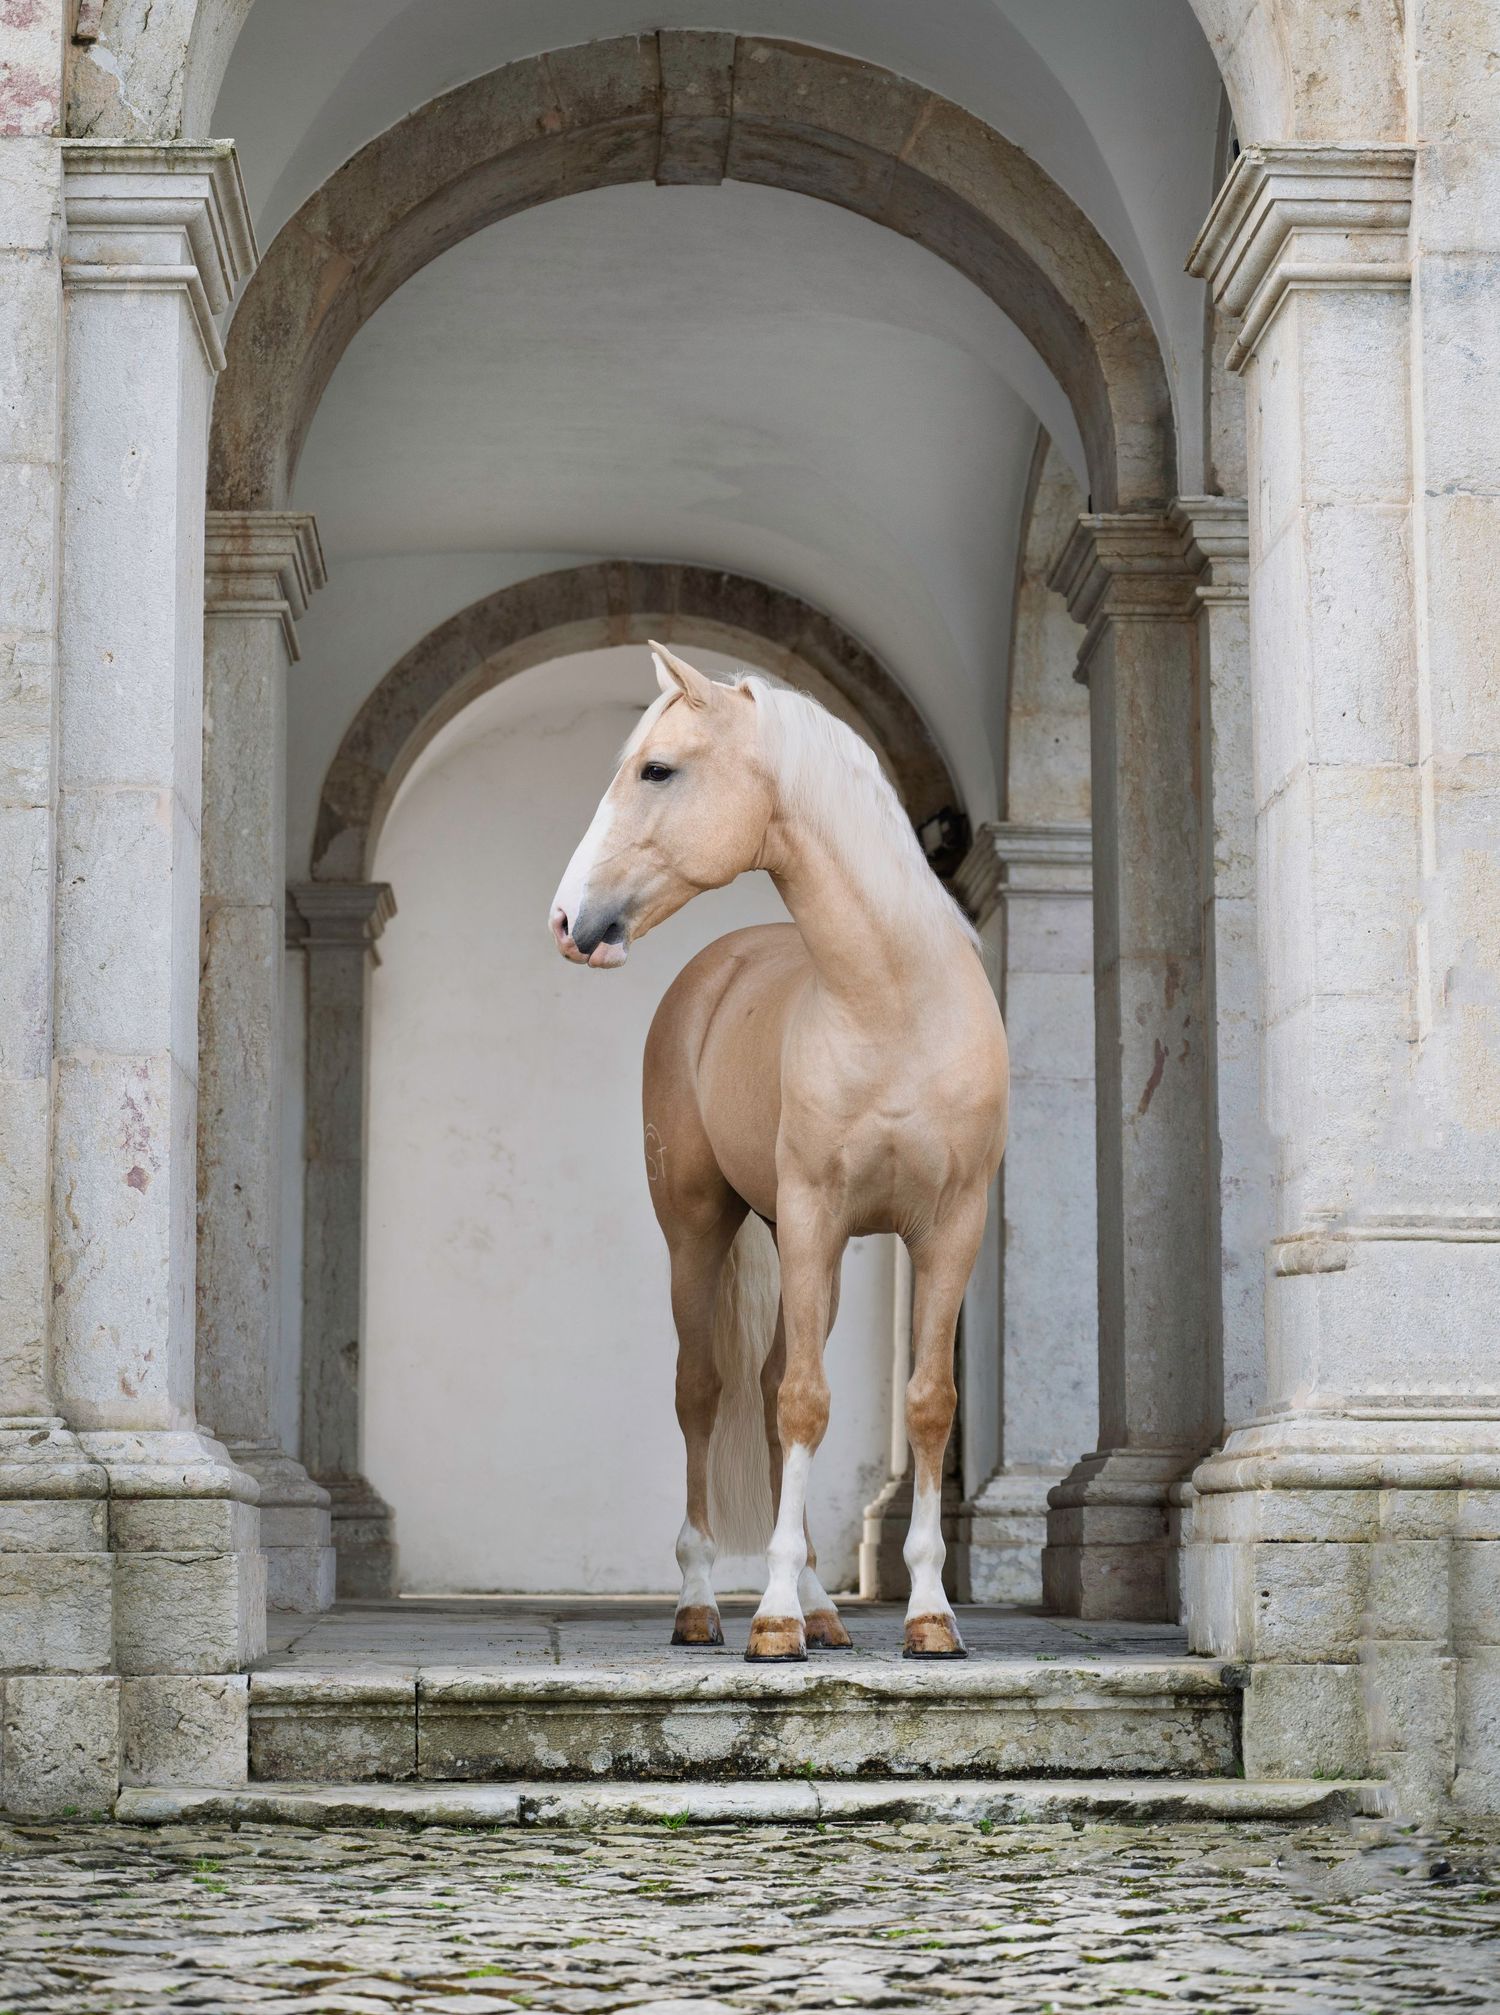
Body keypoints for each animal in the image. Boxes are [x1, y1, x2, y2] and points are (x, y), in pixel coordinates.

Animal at [549, 643, 1008, 1660]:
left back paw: (829, 1609)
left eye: (657, 769)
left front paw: (930, 1615)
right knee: (705, 1389)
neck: (894, 1004)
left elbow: (927, 1400)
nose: (567, 920)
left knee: (762, 1390)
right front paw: (771, 1620)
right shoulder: (807, 1213)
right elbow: (804, 1401)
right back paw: (701, 1602)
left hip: (821, 1257)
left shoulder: (948, 1228)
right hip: (702, 1226)